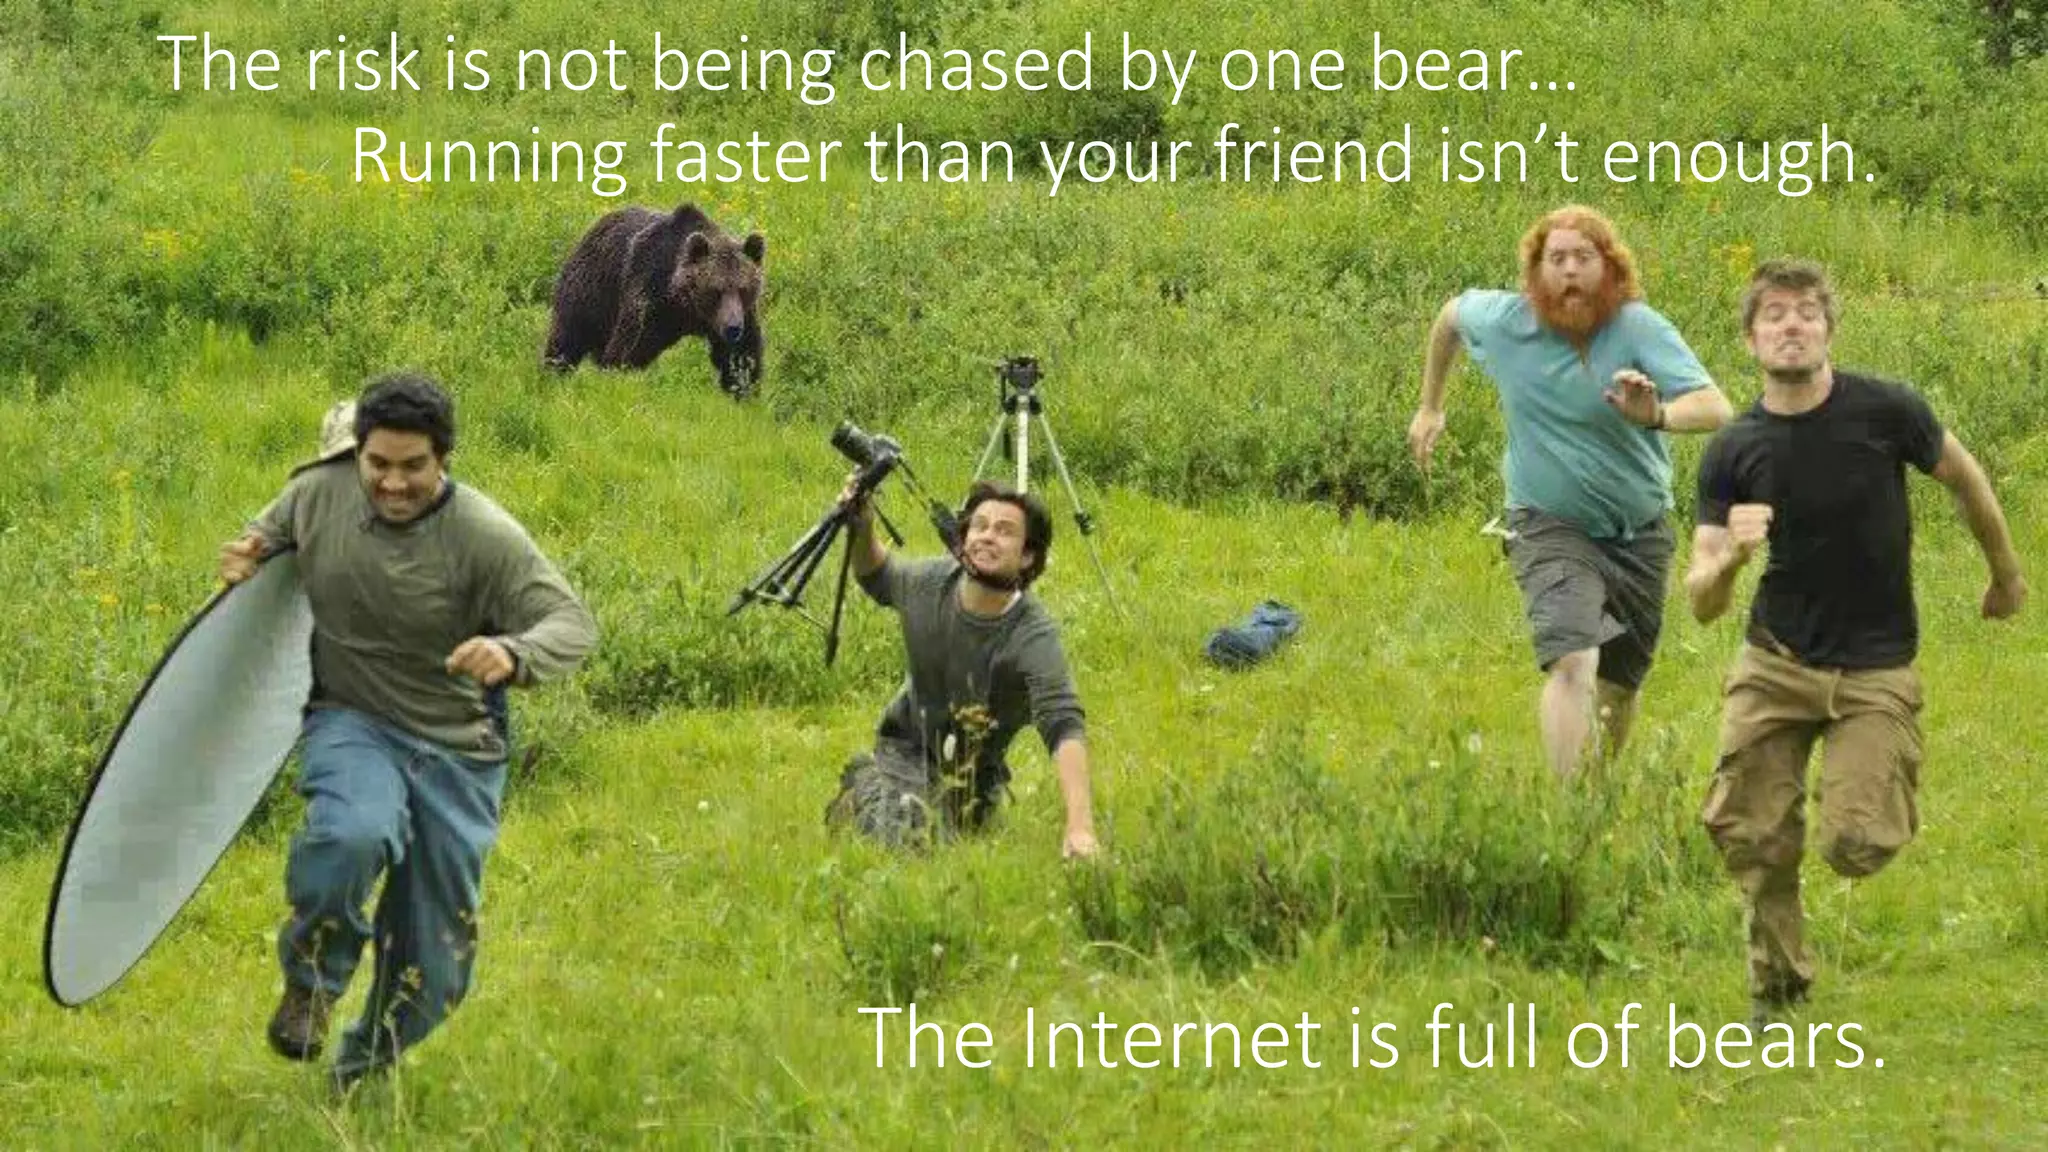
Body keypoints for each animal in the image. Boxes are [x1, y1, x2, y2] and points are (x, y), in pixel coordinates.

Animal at [544, 202, 766, 397]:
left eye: (743, 289)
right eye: (716, 290)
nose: (732, 328)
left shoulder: (739, 316)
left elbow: (740, 358)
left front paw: (743, 391)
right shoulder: (649, 294)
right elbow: (626, 351)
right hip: (589, 291)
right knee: (567, 338)